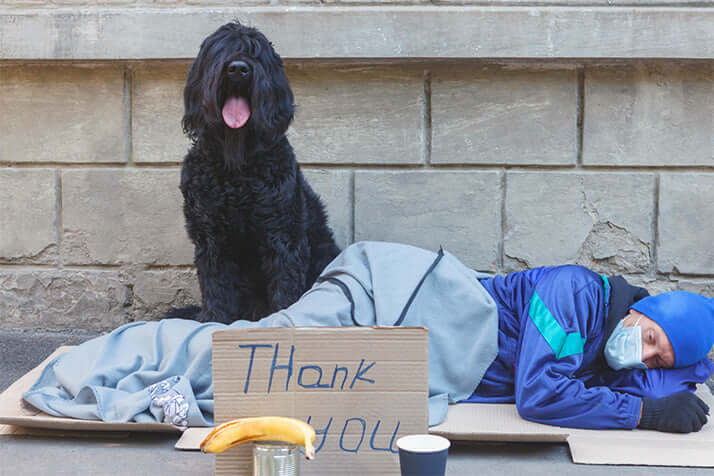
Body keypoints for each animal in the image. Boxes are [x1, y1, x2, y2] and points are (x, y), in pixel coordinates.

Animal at [176, 20, 340, 322]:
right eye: (221, 50)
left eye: (256, 53)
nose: (238, 69)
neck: (236, 168)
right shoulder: (211, 239)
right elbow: (216, 288)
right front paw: (212, 319)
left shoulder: (282, 236)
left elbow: (285, 287)